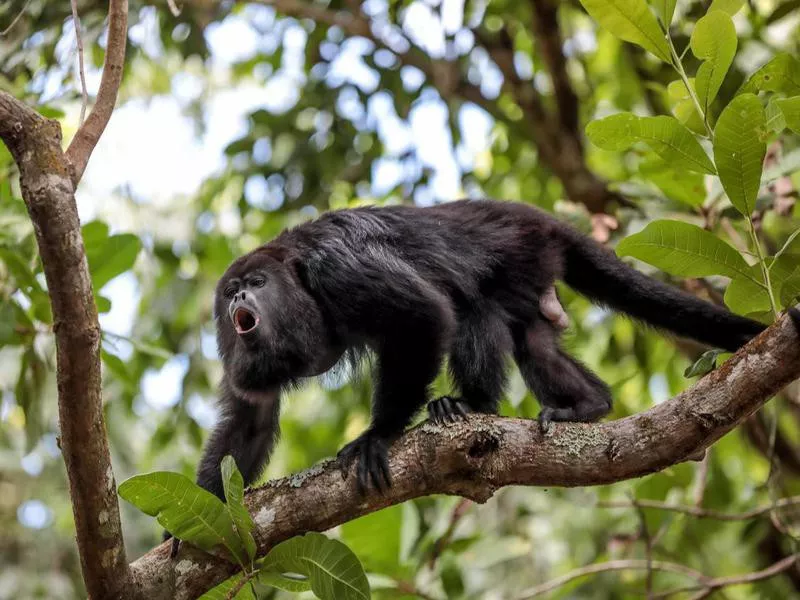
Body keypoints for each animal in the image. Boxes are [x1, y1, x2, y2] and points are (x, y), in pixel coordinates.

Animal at [194, 202, 776, 502]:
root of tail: (539, 218)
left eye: (258, 283)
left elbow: (424, 315)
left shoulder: (338, 269)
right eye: (232, 291)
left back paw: (470, 406)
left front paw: (378, 436)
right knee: (533, 341)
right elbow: (250, 418)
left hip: (522, 251)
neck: (296, 278)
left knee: (473, 308)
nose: (239, 299)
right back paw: (590, 404)